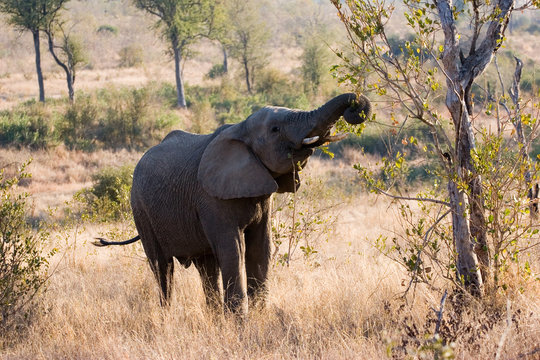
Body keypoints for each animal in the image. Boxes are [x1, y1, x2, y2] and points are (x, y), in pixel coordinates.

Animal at [94, 93, 372, 316]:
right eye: (275, 129)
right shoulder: (211, 198)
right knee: (162, 267)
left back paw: (214, 318)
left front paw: (258, 317)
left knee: (206, 267)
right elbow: (234, 249)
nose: (355, 107)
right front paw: (241, 324)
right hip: (140, 209)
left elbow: (260, 248)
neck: (241, 129)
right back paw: (166, 318)